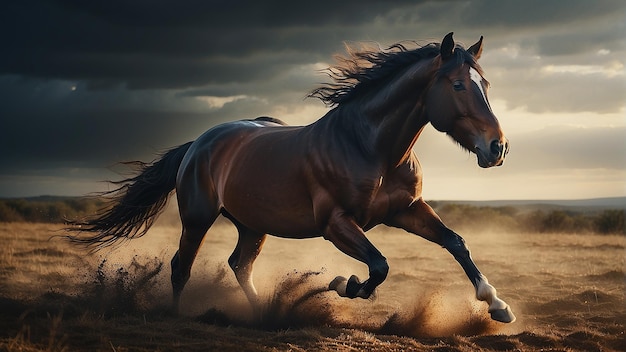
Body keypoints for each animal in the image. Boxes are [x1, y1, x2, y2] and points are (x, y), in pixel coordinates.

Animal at [66, 32, 516, 322]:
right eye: (458, 85)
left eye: (486, 84)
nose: (498, 148)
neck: (370, 147)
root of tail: (200, 142)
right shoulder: (336, 224)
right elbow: (379, 266)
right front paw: (343, 284)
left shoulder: (407, 211)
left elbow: (455, 243)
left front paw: (497, 305)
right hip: (197, 218)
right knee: (181, 266)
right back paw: (177, 317)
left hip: (252, 225)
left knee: (239, 265)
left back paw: (265, 314)